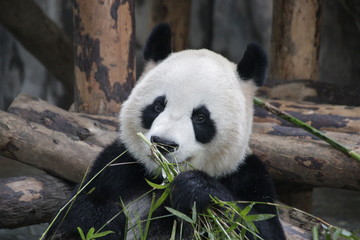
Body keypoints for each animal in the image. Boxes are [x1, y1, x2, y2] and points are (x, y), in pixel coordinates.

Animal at [46, 23, 286, 240]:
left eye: (200, 117)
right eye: (158, 106)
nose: (163, 143)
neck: (161, 181)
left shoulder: (248, 178)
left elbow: (252, 226)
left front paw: (196, 189)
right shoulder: (115, 167)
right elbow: (69, 219)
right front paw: (105, 221)